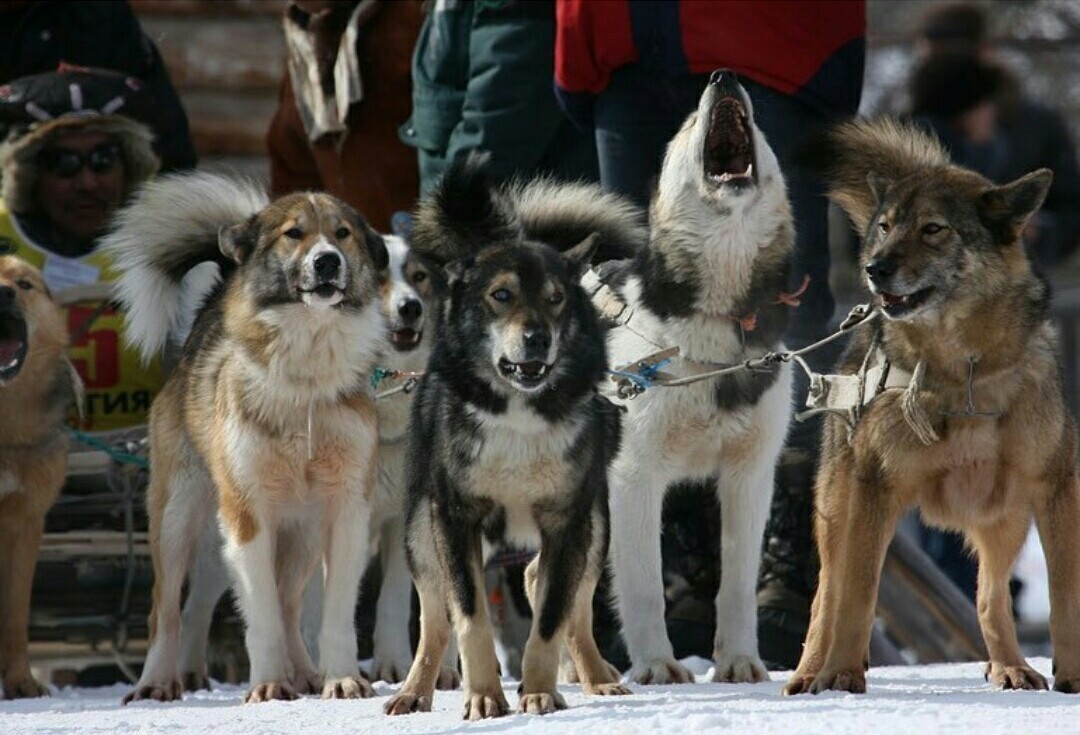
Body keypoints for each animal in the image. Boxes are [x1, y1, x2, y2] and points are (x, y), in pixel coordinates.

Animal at [103, 169, 390, 703]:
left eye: (342, 234)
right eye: (294, 233)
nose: (327, 261)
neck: (304, 388)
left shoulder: (346, 510)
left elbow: (334, 614)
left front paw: (340, 678)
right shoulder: (247, 512)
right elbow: (262, 615)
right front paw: (269, 684)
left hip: (301, 535)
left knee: (291, 603)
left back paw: (306, 673)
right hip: (176, 519)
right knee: (165, 611)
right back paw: (157, 681)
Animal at [786, 118, 1080, 695]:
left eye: (933, 229)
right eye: (885, 227)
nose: (875, 268)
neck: (962, 374)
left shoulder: (1057, 488)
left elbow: (1064, 600)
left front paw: (1074, 676)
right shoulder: (875, 489)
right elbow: (856, 597)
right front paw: (842, 675)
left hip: (1004, 518)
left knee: (990, 597)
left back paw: (1010, 667)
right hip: (838, 508)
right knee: (826, 594)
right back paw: (811, 674)